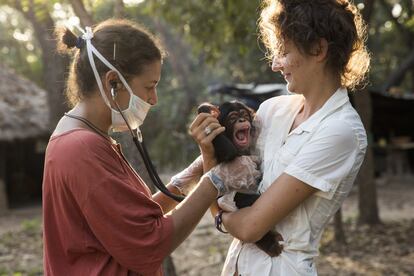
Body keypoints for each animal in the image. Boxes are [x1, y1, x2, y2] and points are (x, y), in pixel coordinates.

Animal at [198, 100, 284, 258]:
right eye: (233, 118)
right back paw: (269, 244)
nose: (241, 120)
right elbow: (229, 153)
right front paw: (205, 109)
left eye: (243, 114)